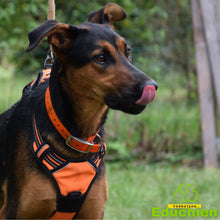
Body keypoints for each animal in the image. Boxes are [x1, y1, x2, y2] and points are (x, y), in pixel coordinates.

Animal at [0, 2, 157, 219]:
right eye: (100, 57)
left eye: (128, 53)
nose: (152, 87)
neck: (75, 136)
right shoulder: (17, 211)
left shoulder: (93, 211)